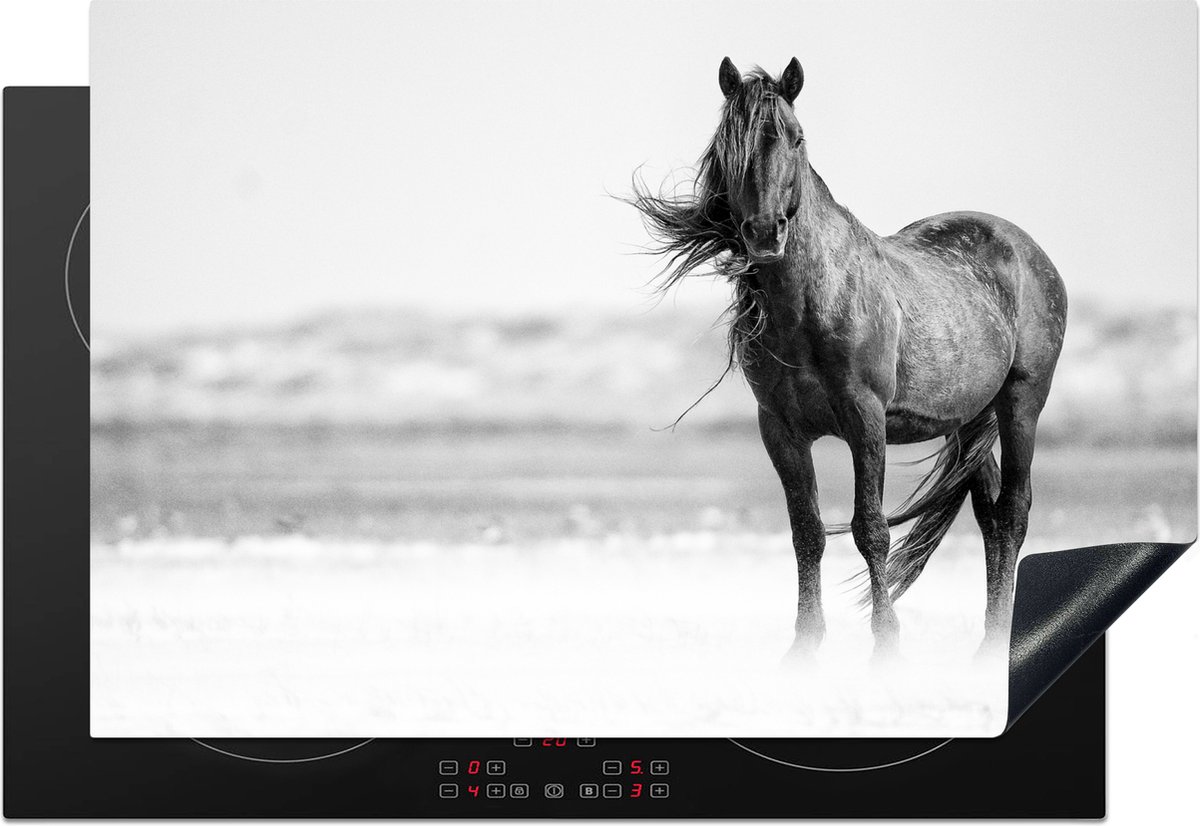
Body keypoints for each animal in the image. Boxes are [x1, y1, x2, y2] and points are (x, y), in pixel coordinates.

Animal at [631, 57, 1067, 657]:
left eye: (796, 137)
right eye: (727, 144)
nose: (764, 232)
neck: (811, 304)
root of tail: (1025, 248)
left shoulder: (866, 420)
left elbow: (870, 530)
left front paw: (886, 647)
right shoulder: (781, 430)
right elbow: (807, 531)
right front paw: (804, 648)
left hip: (1021, 402)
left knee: (1014, 511)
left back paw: (996, 648)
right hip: (967, 419)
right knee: (990, 517)